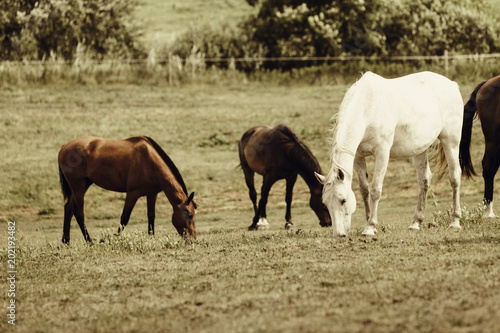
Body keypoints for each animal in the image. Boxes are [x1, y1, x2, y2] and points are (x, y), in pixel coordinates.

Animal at [57, 136, 196, 244]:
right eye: (190, 215)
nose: (193, 240)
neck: (150, 160)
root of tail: (64, 147)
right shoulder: (132, 194)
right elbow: (124, 218)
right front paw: (116, 240)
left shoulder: (152, 194)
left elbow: (151, 216)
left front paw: (151, 238)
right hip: (78, 187)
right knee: (79, 213)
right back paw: (89, 241)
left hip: (82, 185)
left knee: (68, 208)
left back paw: (66, 241)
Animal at [316, 70, 464, 236]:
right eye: (326, 203)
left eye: (343, 200)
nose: (339, 234)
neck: (368, 108)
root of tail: (452, 85)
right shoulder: (358, 156)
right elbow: (364, 190)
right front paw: (369, 221)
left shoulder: (382, 152)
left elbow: (375, 189)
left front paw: (370, 227)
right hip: (420, 149)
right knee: (424, 180)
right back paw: (415, 223)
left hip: (451, 141)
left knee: (454, 177)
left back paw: (455, 221)